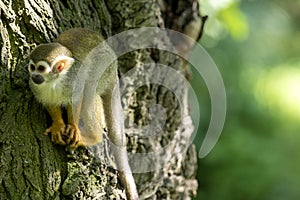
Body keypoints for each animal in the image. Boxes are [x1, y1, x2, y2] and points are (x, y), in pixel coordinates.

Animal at [28, 28, 139, 200]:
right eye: (32, 67)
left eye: (41, 68)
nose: (34, 76)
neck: (54, 81)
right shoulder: (37, 87)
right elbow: (50, 102)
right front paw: (58, 125)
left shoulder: (74, 79)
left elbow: (78, 98)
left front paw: (73, 127)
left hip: (103, 67)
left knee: (88, 94)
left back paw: (94, 137)